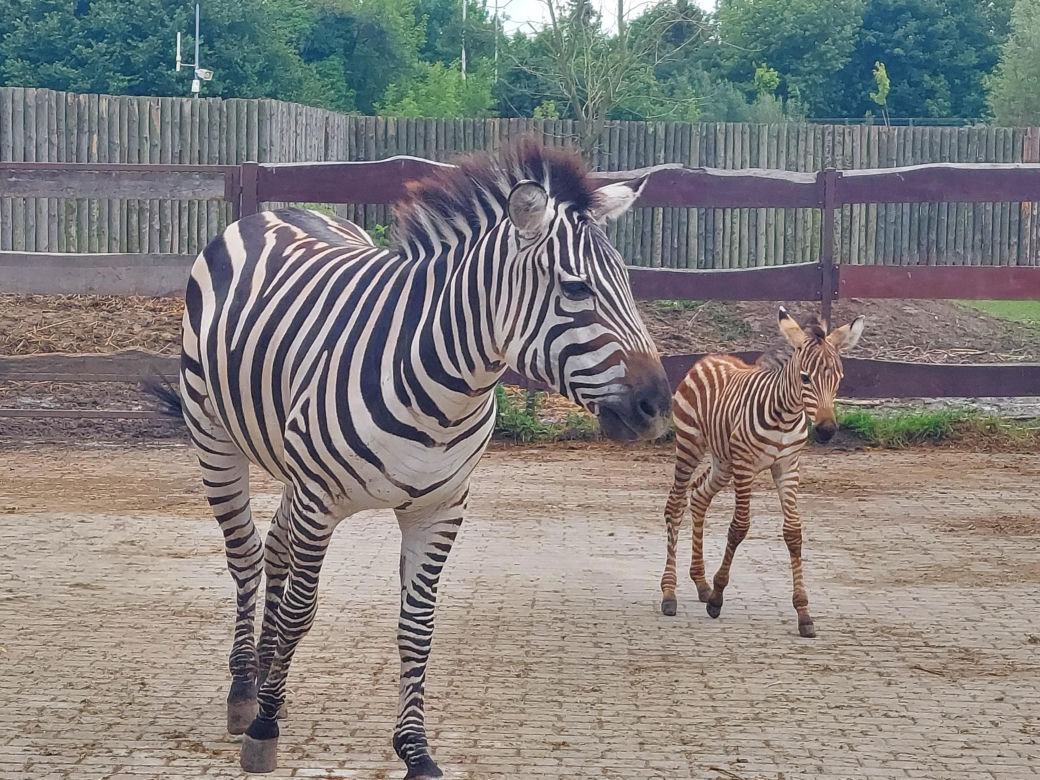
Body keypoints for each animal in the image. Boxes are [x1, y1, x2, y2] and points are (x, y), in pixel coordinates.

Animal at [147, 139, 671, 777]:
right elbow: (302, 610)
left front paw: (416, 750)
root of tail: (274, 212)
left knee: (273, 549)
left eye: (628, 283)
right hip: (215, 437)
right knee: (246, 556)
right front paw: (264, 730)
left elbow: (417, 626)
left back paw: (270, 678)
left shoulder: (440, 508)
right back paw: (247, 692)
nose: (657, 405)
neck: (444, 389)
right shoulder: (320, 499)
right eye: (575, 289)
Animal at [658, 307, 864, 637]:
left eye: (839, 378)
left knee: (699, 495)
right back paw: (669, 593)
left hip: (723, 461)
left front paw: (803, 613)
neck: (786, 416)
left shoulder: (788, 466)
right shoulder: (746, 465)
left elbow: (793, 533)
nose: (826, 431)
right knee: (675, 505)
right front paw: (717, 597)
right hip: (691, 444)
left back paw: (700, 583)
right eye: (805, 378)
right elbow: (739, 527)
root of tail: (708, 357)